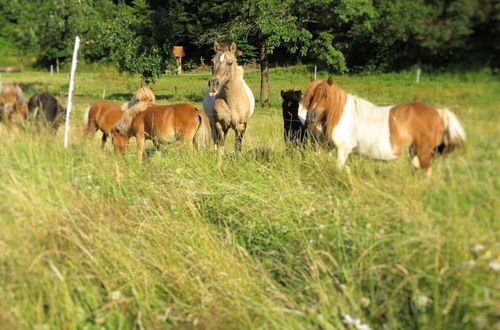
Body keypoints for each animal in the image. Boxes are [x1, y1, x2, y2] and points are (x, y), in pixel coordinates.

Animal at [302, 77, 466, 175]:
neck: (344, 115)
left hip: (423, 151)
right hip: (414, 150)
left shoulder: (343, 149)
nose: (311, 116)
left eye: (326, 96)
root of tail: (440, 112)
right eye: (311, 95)